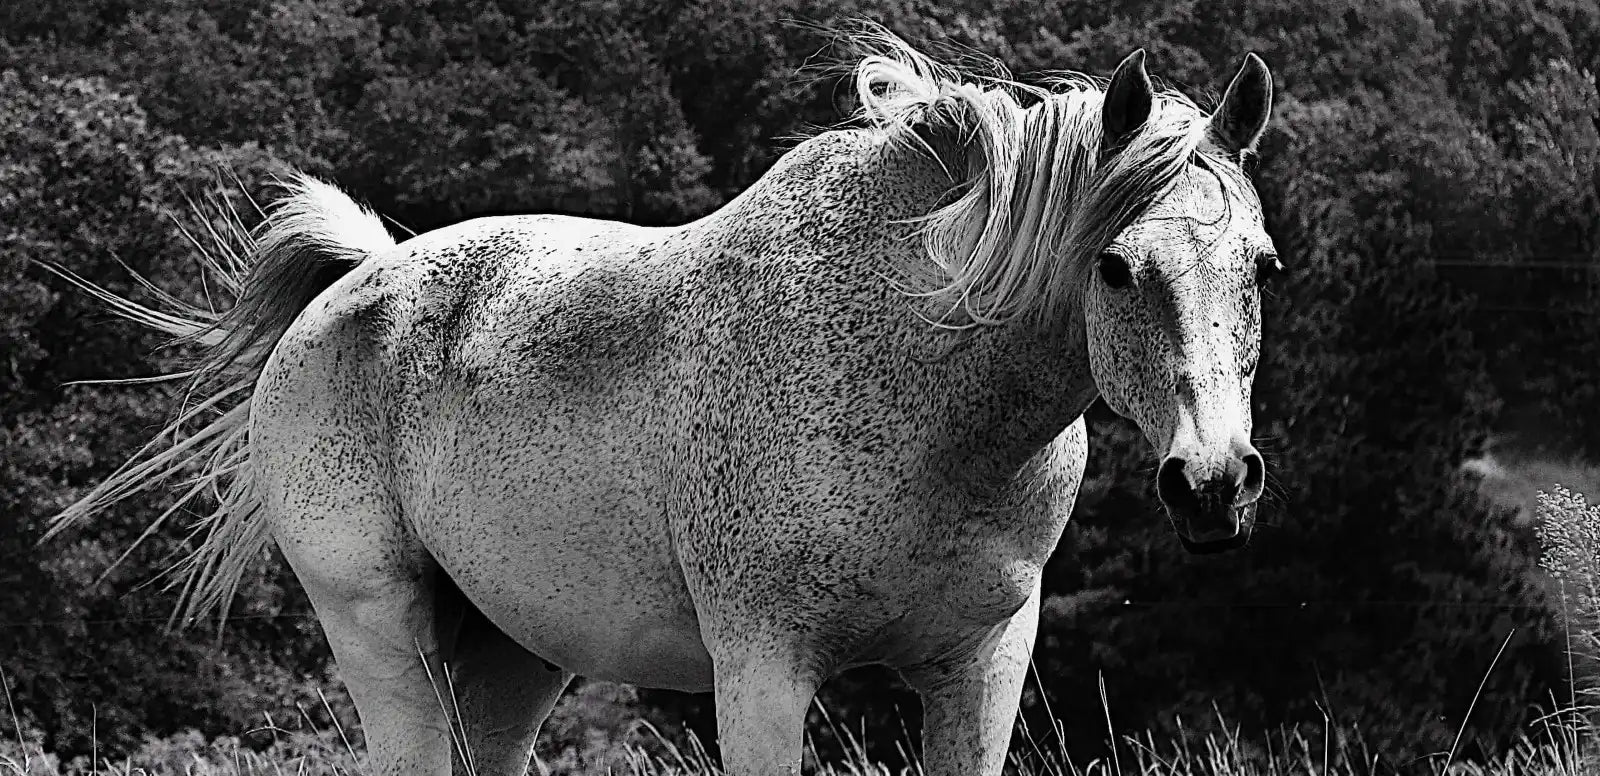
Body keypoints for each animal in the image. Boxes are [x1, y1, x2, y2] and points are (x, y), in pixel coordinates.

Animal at [48, 30, 1278, 776]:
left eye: (1261, 264)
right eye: (1115, 268)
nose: (1214, 484)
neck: (934, 403)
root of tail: (356, 284)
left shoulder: (978, 669)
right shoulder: (763, 671)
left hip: (510, 658)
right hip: (382, 633)